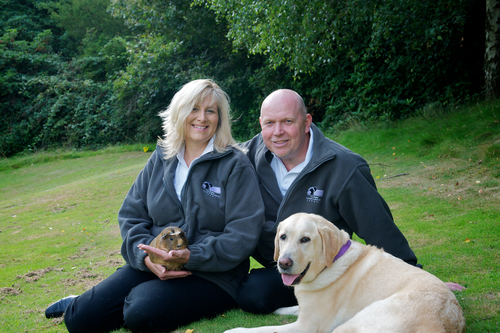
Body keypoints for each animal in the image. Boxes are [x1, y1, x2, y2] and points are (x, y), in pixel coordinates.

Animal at [227, 213, 464, 332]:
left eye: (305, 239)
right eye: (283, 237)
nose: (283, 263)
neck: (330, 264)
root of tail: (444, 322)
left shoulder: (306, 327)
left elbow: (265, 330)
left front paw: (235, 331)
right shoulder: (306, 312)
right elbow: (293, 308)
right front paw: (282, 309)